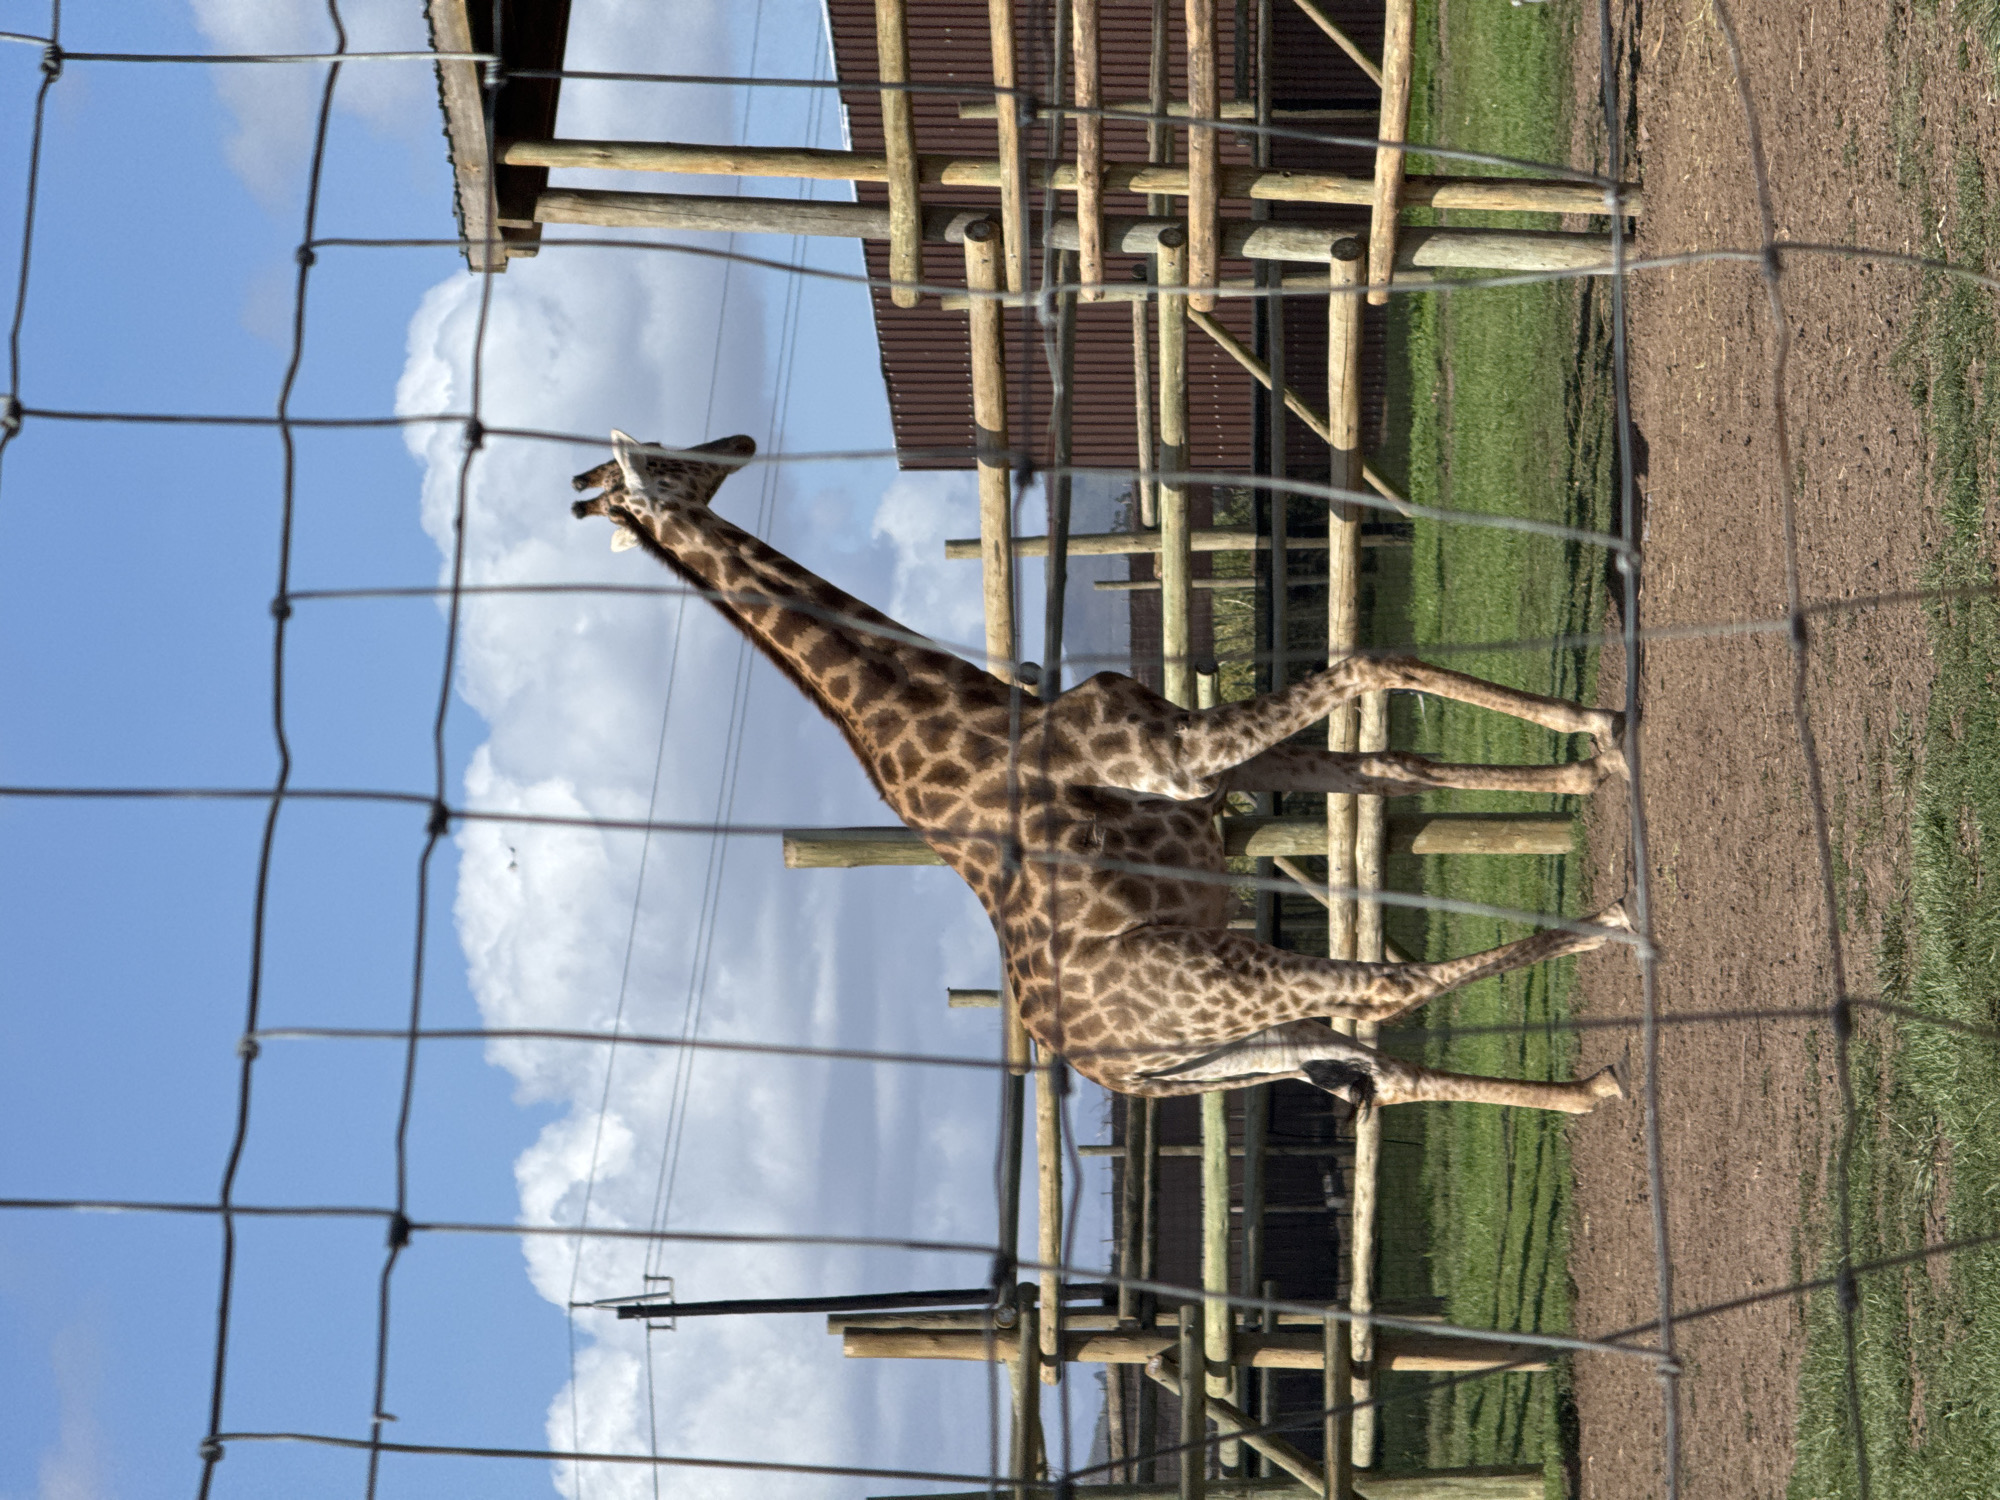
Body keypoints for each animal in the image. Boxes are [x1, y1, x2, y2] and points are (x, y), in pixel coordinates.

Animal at [571, 431, 1634, 1114]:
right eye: (669, 458)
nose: (741, 437)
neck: (970, 717)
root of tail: (1119, 1074)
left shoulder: (1206, 770)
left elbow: (1388, 758)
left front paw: (1589, 761)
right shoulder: (1183, 755)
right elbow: (1368, 665)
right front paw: (1602, 734)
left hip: (1241, 1047)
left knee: (1377, 1070)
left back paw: (1595, 1087)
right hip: (1230, 978)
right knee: (1386, 993)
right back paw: (1611, 931)